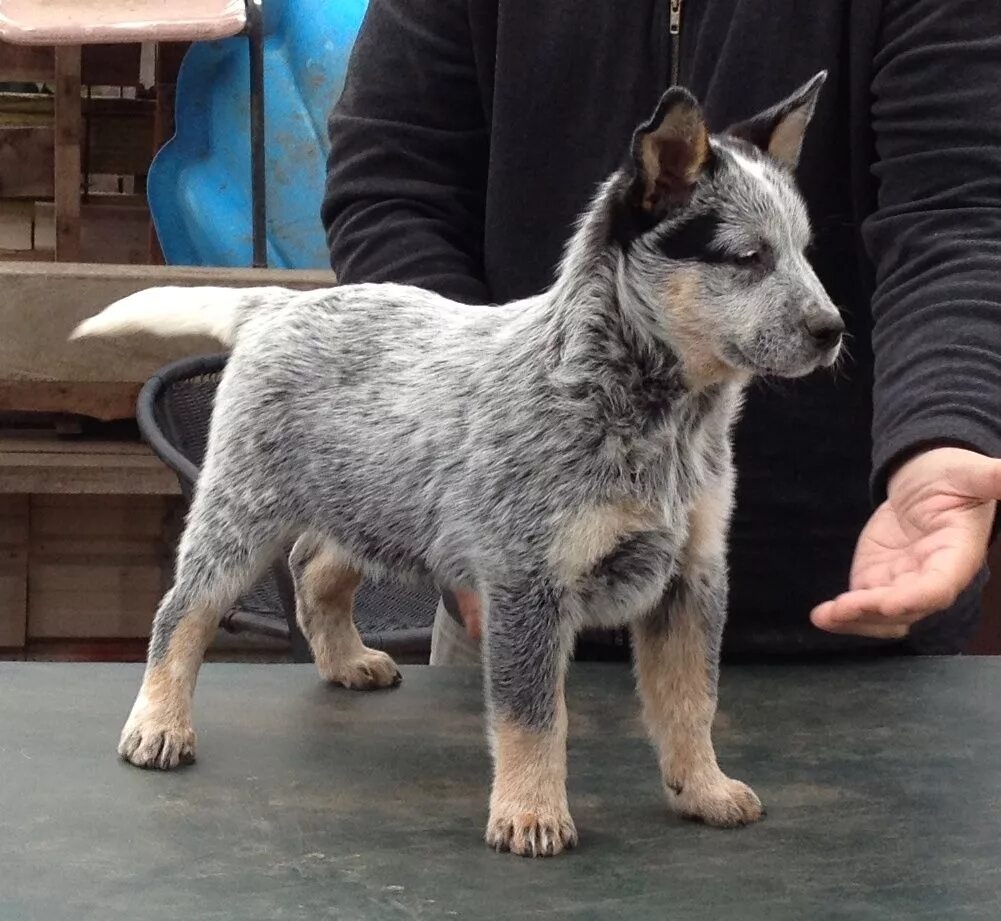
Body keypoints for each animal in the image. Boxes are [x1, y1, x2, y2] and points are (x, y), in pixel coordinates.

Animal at [74, 72, 836, 856]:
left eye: (804, 252)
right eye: (746, 257)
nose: (832, 329)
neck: (649, 416)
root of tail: (278, 305)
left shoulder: (691, 576)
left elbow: (692, 698)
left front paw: (704, 788)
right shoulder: (527, 582)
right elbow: (534, 713)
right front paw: (530, 812)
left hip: (372, 502)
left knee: (316, 567)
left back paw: (346, 659)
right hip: (242, 507)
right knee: (184, 609)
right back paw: (159, 724)